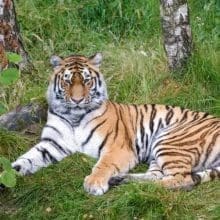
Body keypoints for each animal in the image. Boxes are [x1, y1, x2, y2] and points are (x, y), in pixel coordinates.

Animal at [8, 53, 218, 196]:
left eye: (86, 81)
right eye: (67, 82)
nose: (77, 100)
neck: (74, 116)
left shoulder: (117, 148)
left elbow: (103, 164)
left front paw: (94, 183)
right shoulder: (52, 143)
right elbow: (28, 158)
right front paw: (10, 173)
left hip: (168, 139)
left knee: (183, 179)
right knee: (158, 175)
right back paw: (122, 180)